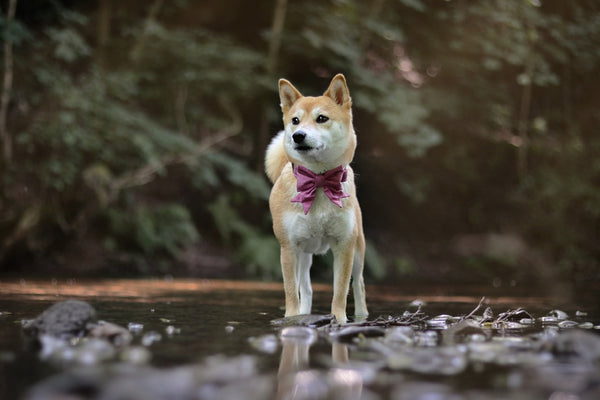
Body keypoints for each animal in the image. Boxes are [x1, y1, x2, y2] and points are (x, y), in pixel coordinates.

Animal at [266, 74, 368, 324]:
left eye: (321, 118)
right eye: (295, 120)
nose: (298, 135)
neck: (319, 181)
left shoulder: (344, 245)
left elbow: (341, 290)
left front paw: (339, 319)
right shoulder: (289, 248)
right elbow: (291, 291)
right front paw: (292, 318)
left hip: (358, 248)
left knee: (359, 284)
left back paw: (362, 316)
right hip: (304, 254)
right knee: (306, 288)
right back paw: (304, 314)